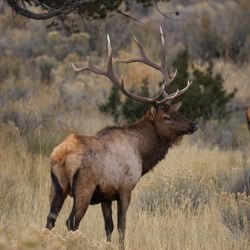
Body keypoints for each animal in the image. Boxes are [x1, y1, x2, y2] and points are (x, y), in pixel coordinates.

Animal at [45, 27, 197, 248]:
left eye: (177, 111)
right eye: (167, 117)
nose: (194, 125)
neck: (142, 153)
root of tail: (62, 154)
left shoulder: (106, 196)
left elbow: (108, 227)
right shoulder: (125, 189)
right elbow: (122, 227)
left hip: (56, 186)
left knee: (50, 220)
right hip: (83, 187)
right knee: (71, 222)